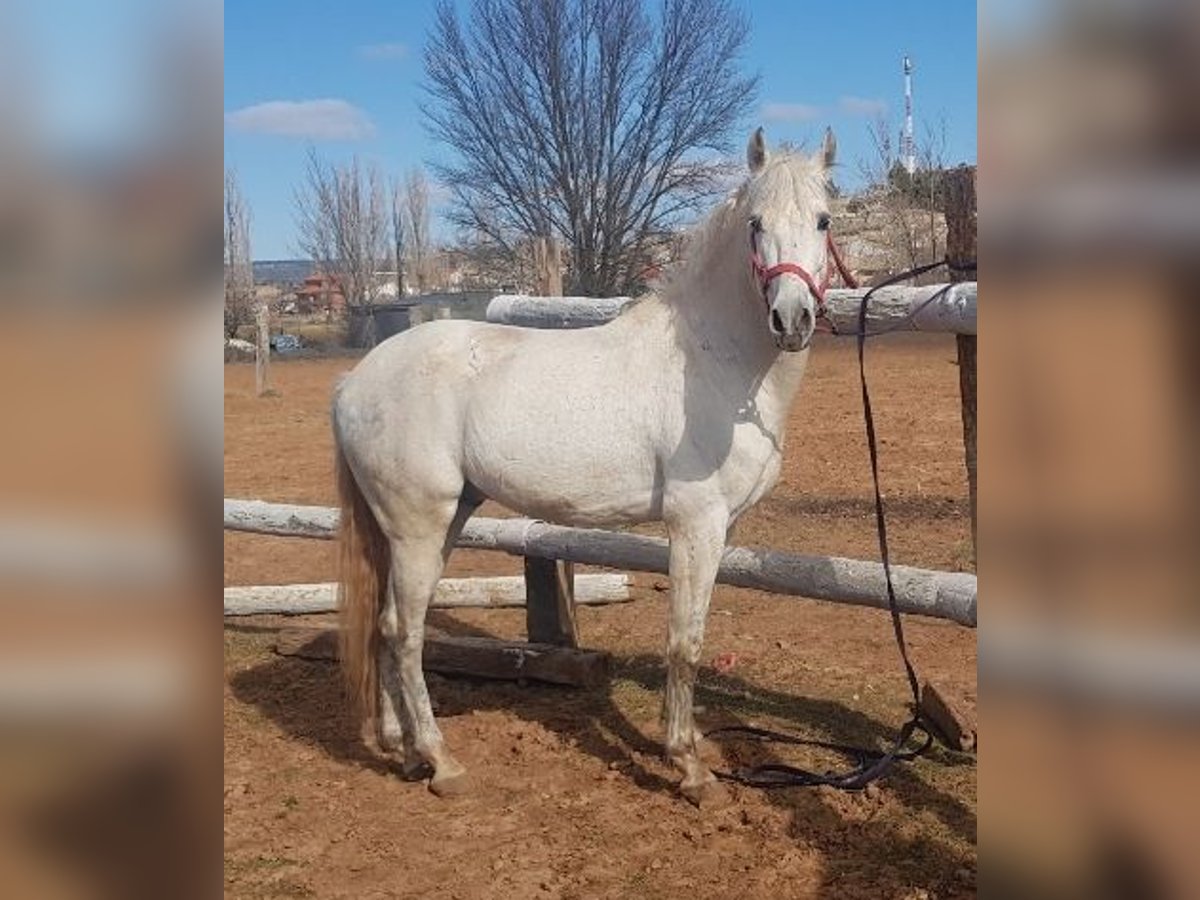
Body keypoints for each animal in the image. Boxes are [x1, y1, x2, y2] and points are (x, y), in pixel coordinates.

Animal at [336, 128, 844, 811]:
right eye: (755, 224)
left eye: (822, 220)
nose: (791, 321)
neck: (713, 362)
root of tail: (354, 381)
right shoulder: (695, 525)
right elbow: (684, 643)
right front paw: (689, 768)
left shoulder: (723, 528)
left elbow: (695, 635)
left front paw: (690, 747)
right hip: (419, 527)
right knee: (404, 632)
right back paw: (442, 762)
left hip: (432, 525)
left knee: (386, 627)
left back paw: (402, 748)